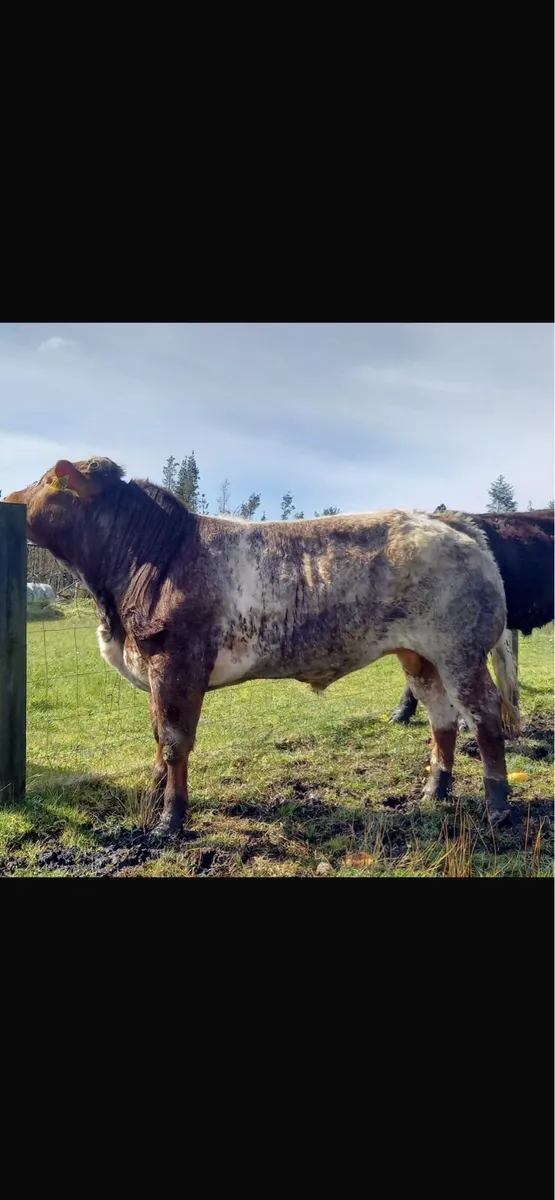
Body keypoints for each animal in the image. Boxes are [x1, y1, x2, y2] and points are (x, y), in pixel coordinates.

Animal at [5, 457, 521, 834]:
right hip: (420, 656)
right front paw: (152, 800)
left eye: (48, 479)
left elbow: (174, 743)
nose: (8, 498)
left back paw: (497, 807)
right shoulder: (154, 667)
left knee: (484, 715)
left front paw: (170, 820)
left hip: (460, 652)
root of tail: (445, 520)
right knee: (442, 717)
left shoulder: (177, 665)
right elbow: (157, 738)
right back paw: (434, 791)